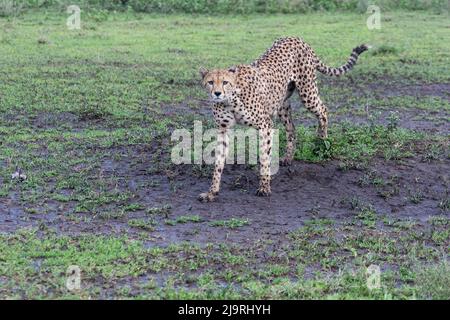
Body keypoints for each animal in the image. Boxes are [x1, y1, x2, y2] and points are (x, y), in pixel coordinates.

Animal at [199, 37, 368, 202]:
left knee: (323, 110)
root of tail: (296, 38)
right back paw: (288, 158)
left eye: (225, 82)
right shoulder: (223, 129)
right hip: (282, 105)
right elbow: (218, 162)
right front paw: (212, 192)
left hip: (307, 92)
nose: (217, 93)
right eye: (210, 82)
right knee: (292, 128)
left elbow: (265, 157)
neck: (230, 99)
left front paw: (264, 188)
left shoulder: (265, 125)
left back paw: (322, 143)